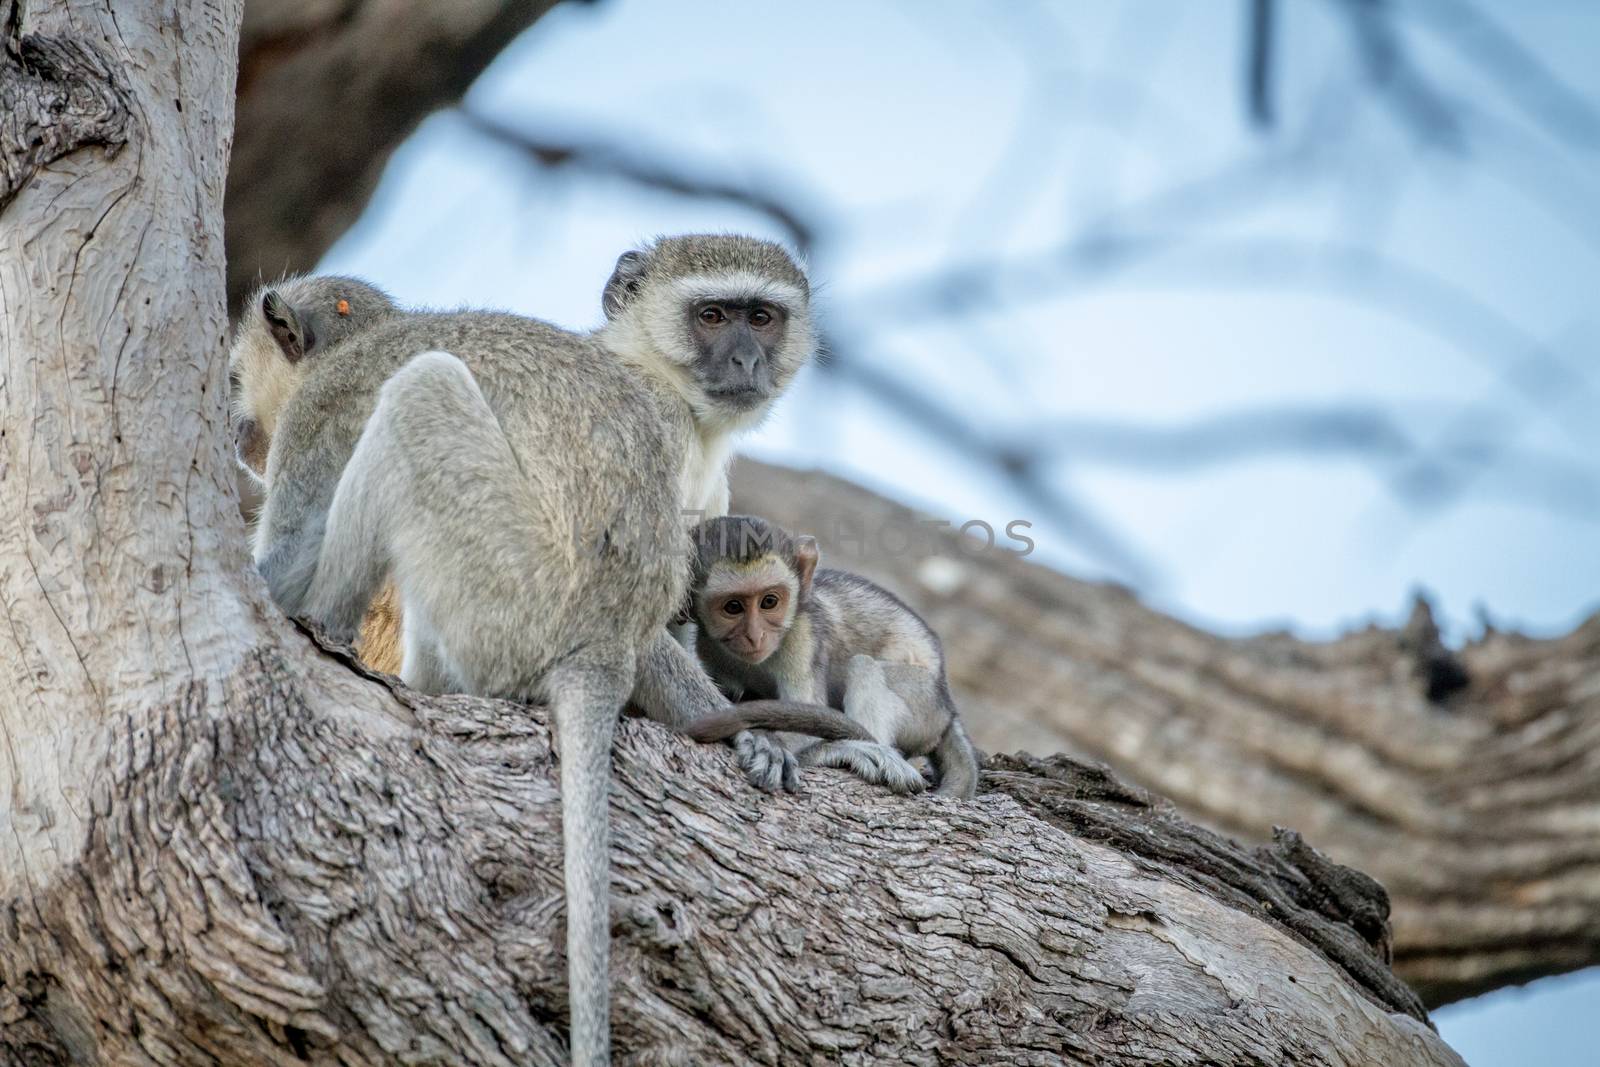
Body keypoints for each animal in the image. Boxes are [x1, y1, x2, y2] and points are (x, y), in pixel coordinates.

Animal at [691, 511, 985, 796]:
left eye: (769, 602)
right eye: (733, 607)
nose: (755, 636)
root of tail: (948, 711)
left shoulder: (802, 636)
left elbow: (807, 725)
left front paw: (774, 743)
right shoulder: (707, 648)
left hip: (924, 705)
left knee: (865, 667)